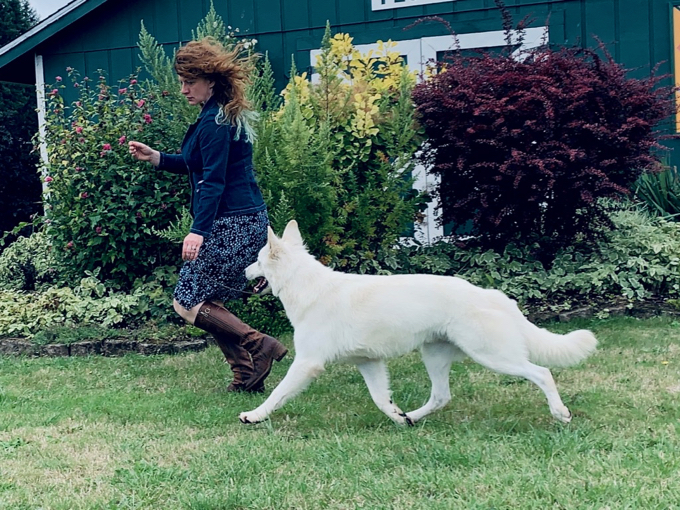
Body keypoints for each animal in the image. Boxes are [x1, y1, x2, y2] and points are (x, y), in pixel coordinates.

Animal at [239, 221, 596, 424]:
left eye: (256, 260)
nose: (242, 271)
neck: (306, 286)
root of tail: (495, 296)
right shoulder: (369, 363)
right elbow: (381, 399)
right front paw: (398, 418)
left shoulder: (307, 363)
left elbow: (278, 393)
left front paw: (254, 416)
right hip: (435, 356)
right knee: (440, 397)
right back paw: (412, 417)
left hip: (493, 356)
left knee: (542, 373)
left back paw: (560, 414)